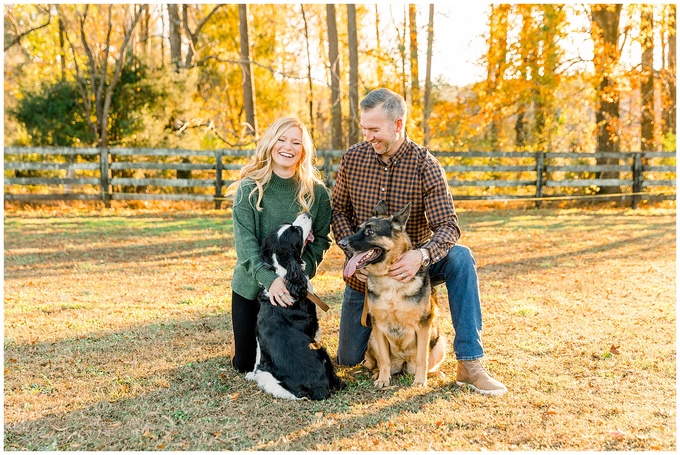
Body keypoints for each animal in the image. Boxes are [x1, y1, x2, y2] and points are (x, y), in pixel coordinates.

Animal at [338, 203, 446, 388]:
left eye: (370, 231)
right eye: (358, 229)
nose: (341, 243)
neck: (389, 278)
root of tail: (403, 363)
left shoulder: (424, 324)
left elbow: (422, 358)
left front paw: (420, 381)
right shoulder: (378, 325)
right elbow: (384, 359)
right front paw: (383, 379)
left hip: (440, 343)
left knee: (424, 362)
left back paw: (432, 373)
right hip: (372, 339)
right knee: (377, 363)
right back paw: (376, 373)